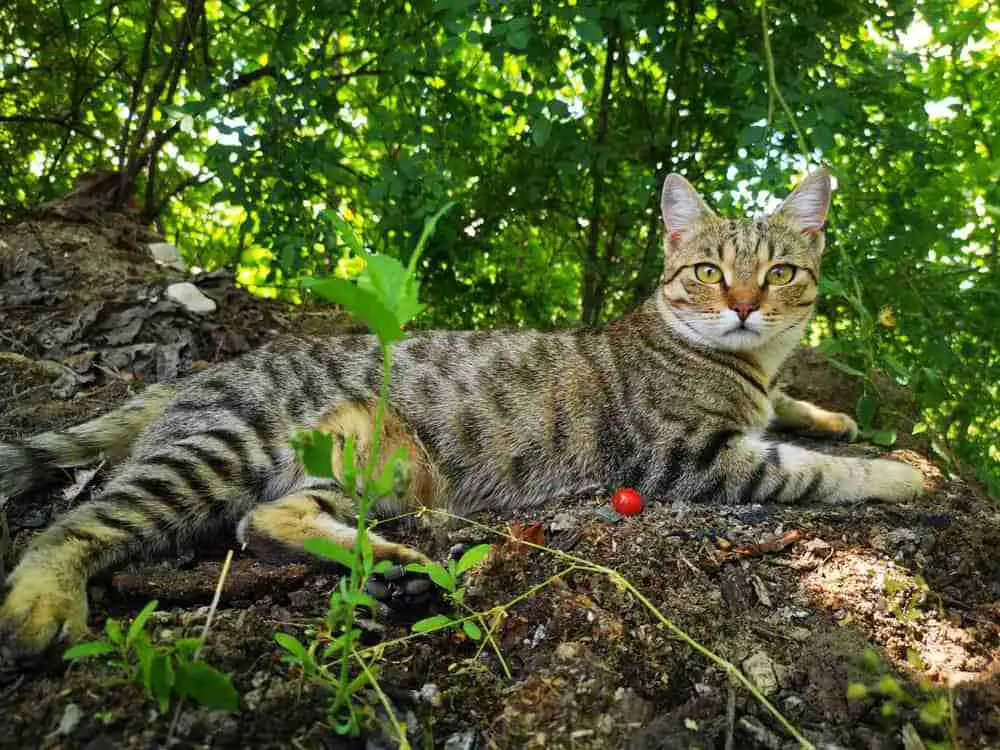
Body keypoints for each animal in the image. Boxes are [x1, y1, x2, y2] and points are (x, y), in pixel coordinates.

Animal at [0, 170, 920, 656]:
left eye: (778, 273)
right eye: (705, 271)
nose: (741, 306)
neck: (742, 363)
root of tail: (201, 375)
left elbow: (795, 412)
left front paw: (829, 415)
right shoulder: (694, 455)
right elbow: (808, 471)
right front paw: (897, 471)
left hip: (379, 464)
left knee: (265, 521)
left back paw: (396, 562)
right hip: (228, 449)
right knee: (82, 522)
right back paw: (41, 599)